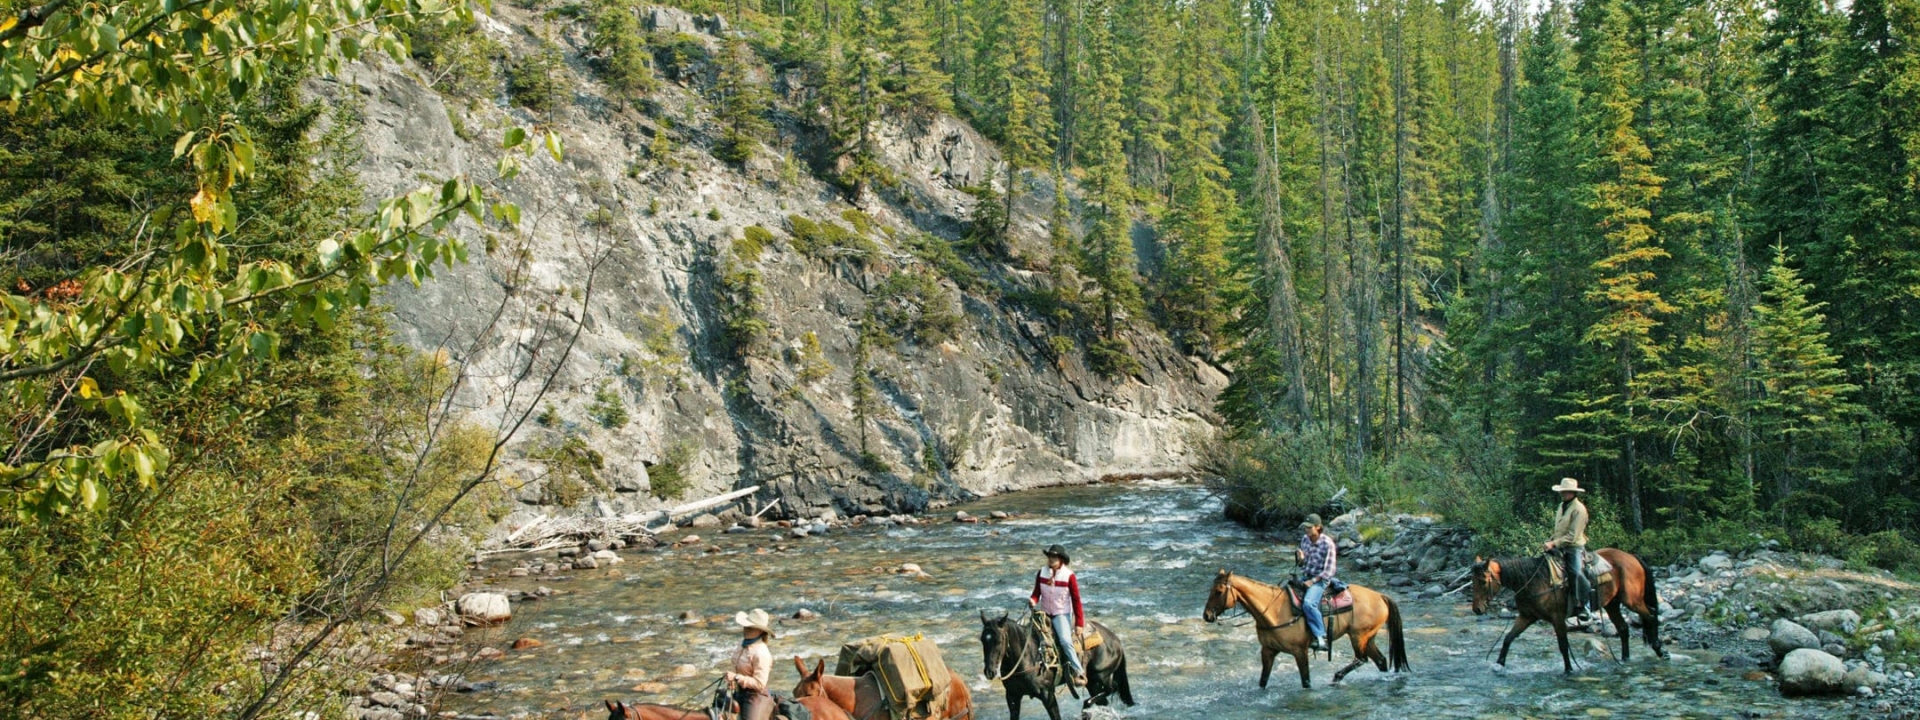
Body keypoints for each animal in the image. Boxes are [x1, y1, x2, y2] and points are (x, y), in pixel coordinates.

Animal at [983, 610, 1128, 720]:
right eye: (983, 639)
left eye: (998, 641)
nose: (989, 672)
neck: (1029, 657)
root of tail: (1116, 641)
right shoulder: (1012, 696)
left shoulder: (1048, 695)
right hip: (1092, 682)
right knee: (1103, 700)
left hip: (1101, 676)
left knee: (1111, 688)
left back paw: (1086, 707)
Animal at [1198, 568, 1413, 695]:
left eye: (1218, 591)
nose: (1207, 615)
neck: (1274, 611)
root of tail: (1380, 596)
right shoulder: (1268, 650)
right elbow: (1263, 680)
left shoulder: (1299, 651)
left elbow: (1306, 681)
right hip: (1368, 637)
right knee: (1381, 660)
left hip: (1358, 636)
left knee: (1362, 659)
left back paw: (1336, 678)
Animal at [1466, 549, 1666, 675]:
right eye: (1472, 580)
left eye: (1482, 581)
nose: (1477, 609)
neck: (1533, 580)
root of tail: (1632, 557)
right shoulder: (1527, 617)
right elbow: (1508, 638)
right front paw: (1499, 665)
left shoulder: (1557, 618)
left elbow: (1563, 646)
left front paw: (1569, 670)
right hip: (1612, 604)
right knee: (1624, 629)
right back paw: (1625, 659)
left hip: (1632, 601)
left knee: (1650, 616)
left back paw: (1660, 650)